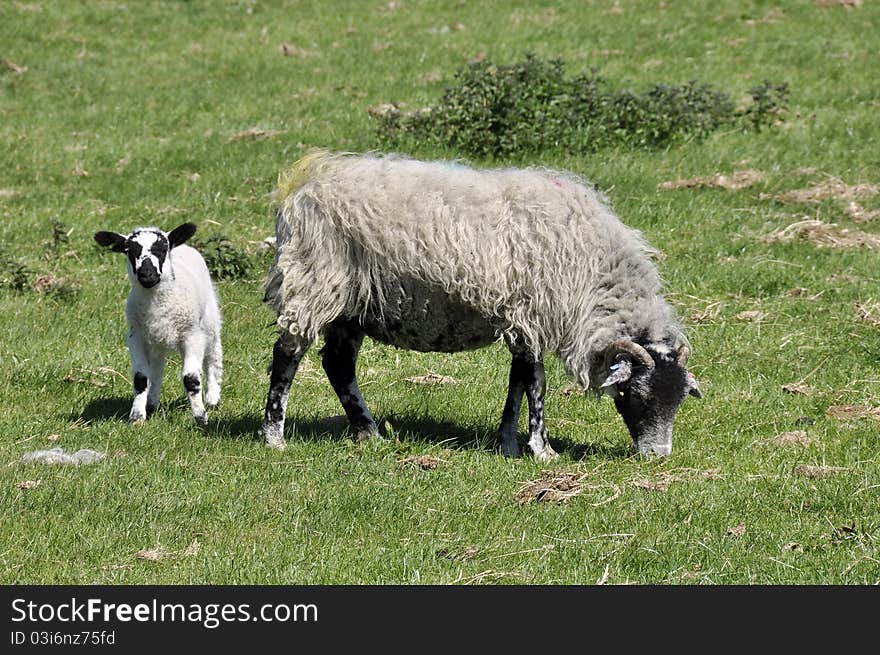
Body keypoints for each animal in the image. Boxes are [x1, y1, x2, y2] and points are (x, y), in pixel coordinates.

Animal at [92, 223, 222, 428]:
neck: (157, 303)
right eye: (129, 251)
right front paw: (137, 417)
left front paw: (200, 418)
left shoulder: (192, 335)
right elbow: (140, 378)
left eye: (162, 249)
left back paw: (212, 398)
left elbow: (191, 378)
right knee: (157, 369)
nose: (147, 274)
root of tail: (185, 246)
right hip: (156, 340)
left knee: (213, 356)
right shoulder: (136, 337)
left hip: (209, 321)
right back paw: (151, 403)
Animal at [256, 152, 700, 462]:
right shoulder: (532, 314)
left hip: (352, 303)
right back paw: (274, 436)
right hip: (313, 279)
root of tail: (302, 187)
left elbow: (518, 382)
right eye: (635, 394)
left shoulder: (519, 320)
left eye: (679, 399)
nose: (657, 457)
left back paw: (369, 432)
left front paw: (507, 443)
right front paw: (543, 449)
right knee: (288, 354)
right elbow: (536, 383)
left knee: (338, 364)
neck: (596, 275)